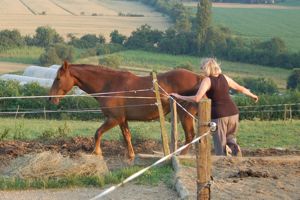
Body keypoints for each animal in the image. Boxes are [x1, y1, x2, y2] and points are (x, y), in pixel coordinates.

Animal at [49, 61, 204, 159]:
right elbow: (127, 137)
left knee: (190, 135)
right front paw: (131, 155)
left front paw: (97, 152)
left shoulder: (114, 119)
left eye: (58, 78)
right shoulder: (122, 120)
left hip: (185, 114)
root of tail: (199, 77)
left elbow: (98, 133)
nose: (51, 98)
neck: (109, 85)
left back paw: (181, 156)